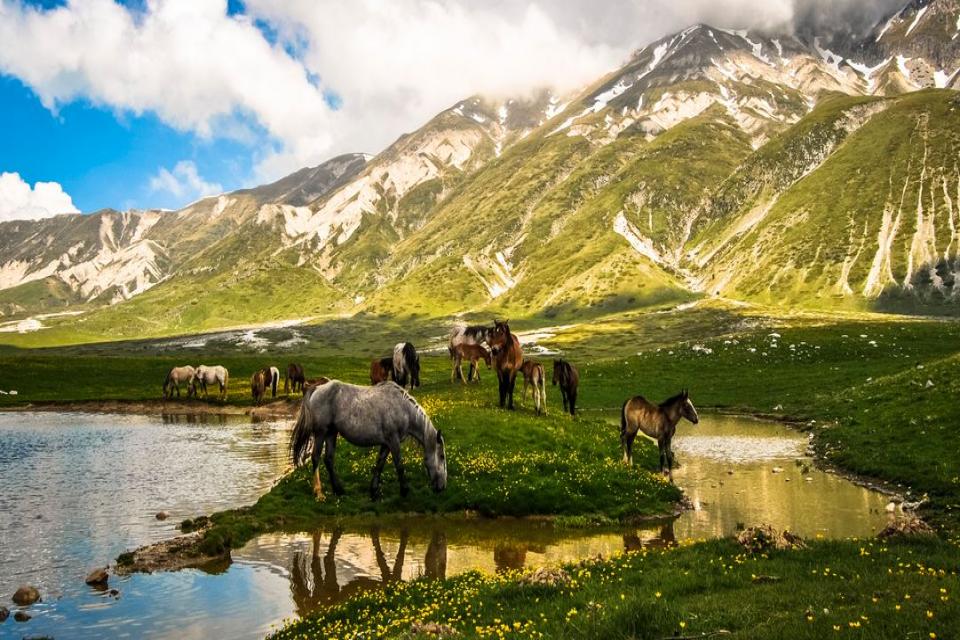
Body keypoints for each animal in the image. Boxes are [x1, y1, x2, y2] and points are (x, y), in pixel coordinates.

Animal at [290, 380, 448, 500]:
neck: (403, 409)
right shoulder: (393, 441)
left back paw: (339, 490)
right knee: (315, 457)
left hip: (331, 433)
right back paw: (319, 493)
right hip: (321, 433)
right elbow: (399, 465)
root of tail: (317, 388)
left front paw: (374, 491)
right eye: (441, 456)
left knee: (328, 459)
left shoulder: (386, 444)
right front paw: (404, 491)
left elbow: (379, 465)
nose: (442, 487)